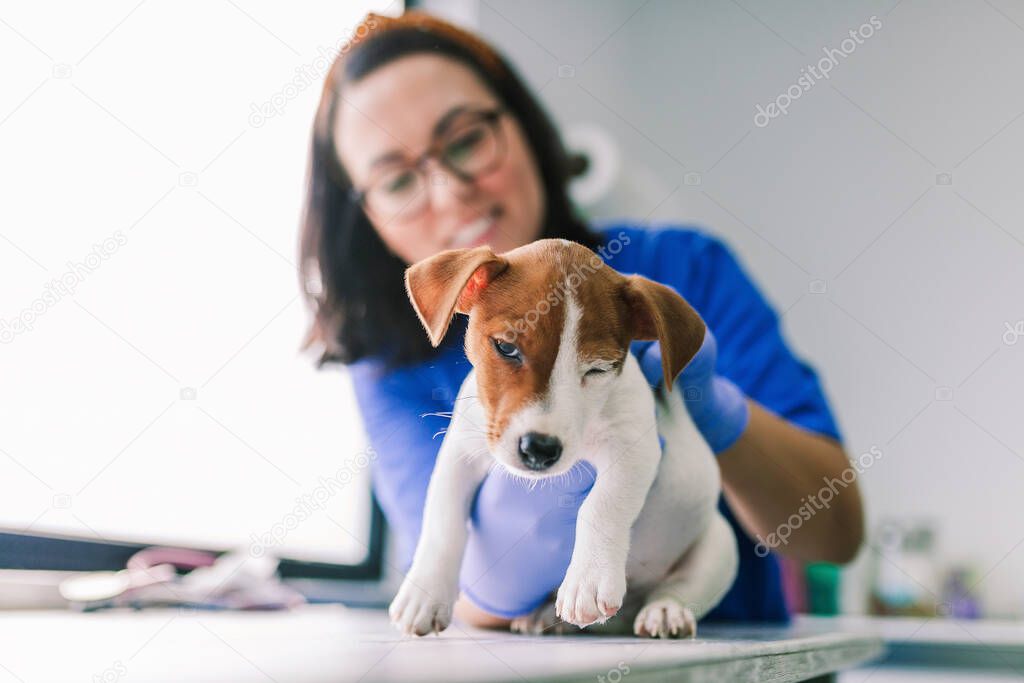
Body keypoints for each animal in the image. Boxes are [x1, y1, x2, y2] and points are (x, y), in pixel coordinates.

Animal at [389, 237, 737, 638]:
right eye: (506, 347)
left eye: (598, 369)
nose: (539, 449)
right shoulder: (461, 452)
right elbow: (442, 521)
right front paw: (424, 594)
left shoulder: (634, 448)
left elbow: (601, 505)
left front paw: (588, 580)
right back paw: (542, 616)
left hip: (718, 545)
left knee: (679, 588)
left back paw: (665, 612)